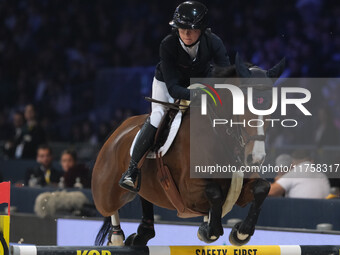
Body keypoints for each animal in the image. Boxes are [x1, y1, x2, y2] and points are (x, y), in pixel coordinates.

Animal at [91, 54, 286, 247]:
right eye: (243, 105)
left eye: (272, 107)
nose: (256, 158)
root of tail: (118, 130)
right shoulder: (188, 192)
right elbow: (214, 192)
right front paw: (209, 230)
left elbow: (262, 188)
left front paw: (241, 233)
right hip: (106, 193)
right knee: (109, 209)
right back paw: (117, 235)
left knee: (144, 199)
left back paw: (141, 235)